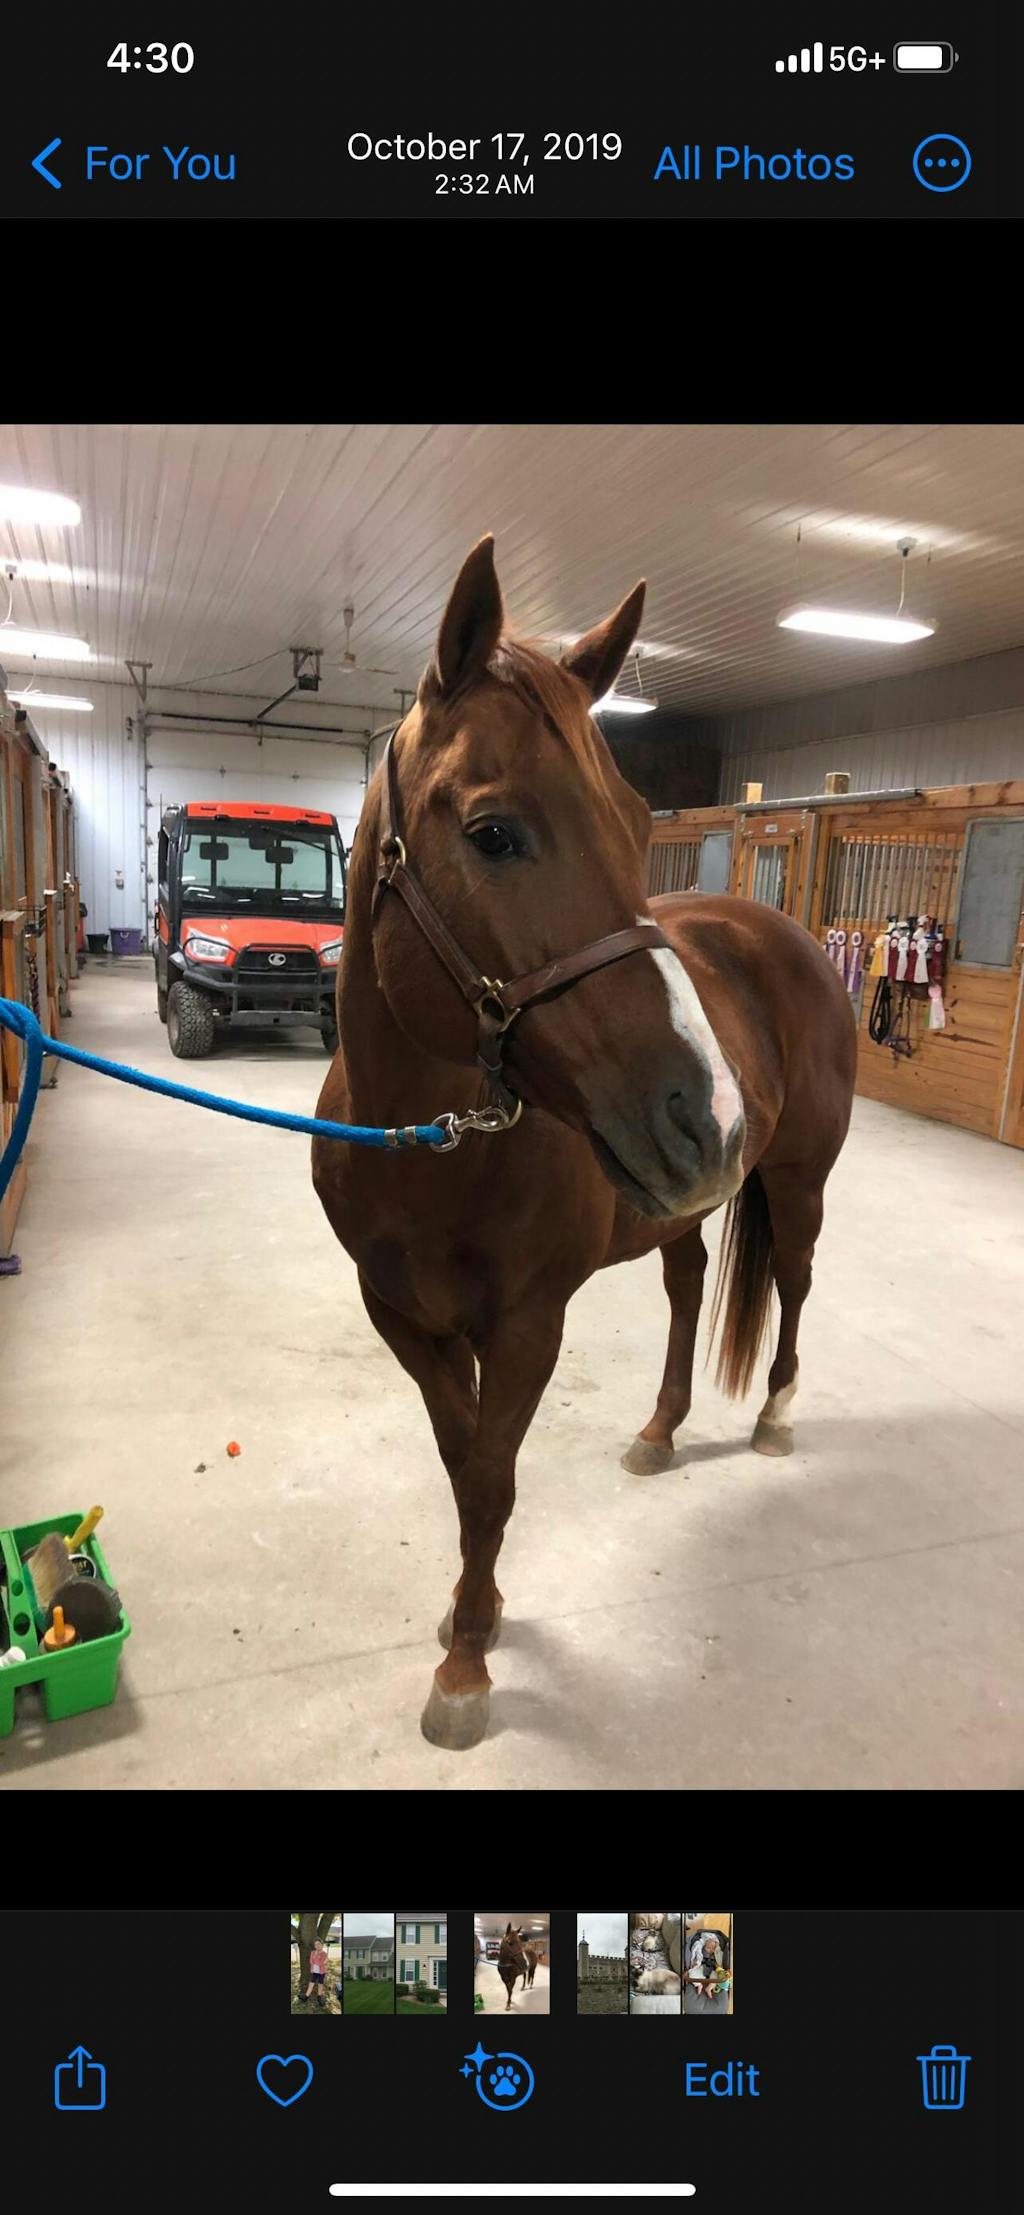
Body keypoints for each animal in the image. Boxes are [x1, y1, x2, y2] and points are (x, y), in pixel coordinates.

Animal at [313, 534, 858, 1754]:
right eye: (493, 832)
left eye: (640, 818)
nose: (708, 1116)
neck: (431, 1150)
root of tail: (783, 931)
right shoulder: (404, 1318)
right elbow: (463, 1461)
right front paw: (472, 1614)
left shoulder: (527, 1323)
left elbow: (491, 1480)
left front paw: (468, 1662)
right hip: (684, 1207)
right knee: (689, 1283)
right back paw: (661, 1427)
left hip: (796, 1179)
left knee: (796, 1281)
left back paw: (775, 1415)